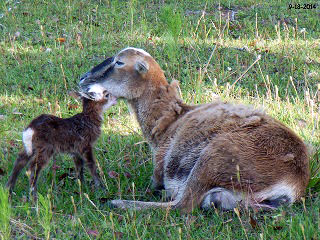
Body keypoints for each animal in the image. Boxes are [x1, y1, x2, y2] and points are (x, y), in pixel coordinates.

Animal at [78, 47, 310, 212]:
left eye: (119, 62)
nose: (82, 79)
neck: (170, 120)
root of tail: (294, 182)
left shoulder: (159, 168)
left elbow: (157, 186)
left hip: (215, 158)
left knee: (183, 206)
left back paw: (118, 203)